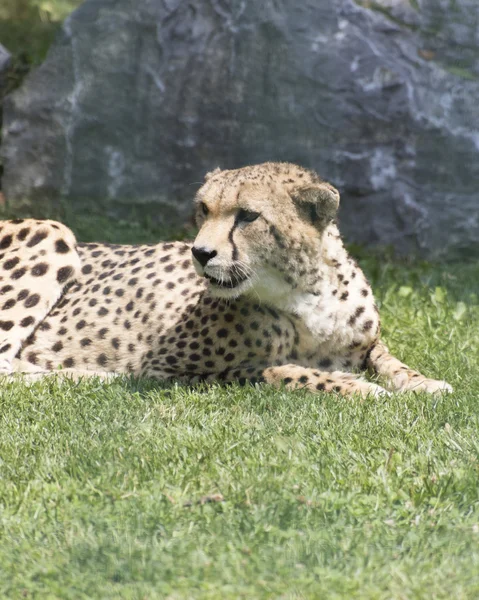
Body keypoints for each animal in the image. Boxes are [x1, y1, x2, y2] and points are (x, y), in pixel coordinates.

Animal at [0, 164, 454, 396]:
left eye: (248, 216)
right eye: (204, 208)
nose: (200, 253)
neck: (307, 294)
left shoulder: (366, 341)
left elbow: (389, 359)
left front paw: (425, 383)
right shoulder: (161, 370)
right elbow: (273, 370)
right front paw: (354, 386)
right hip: (51, 229)